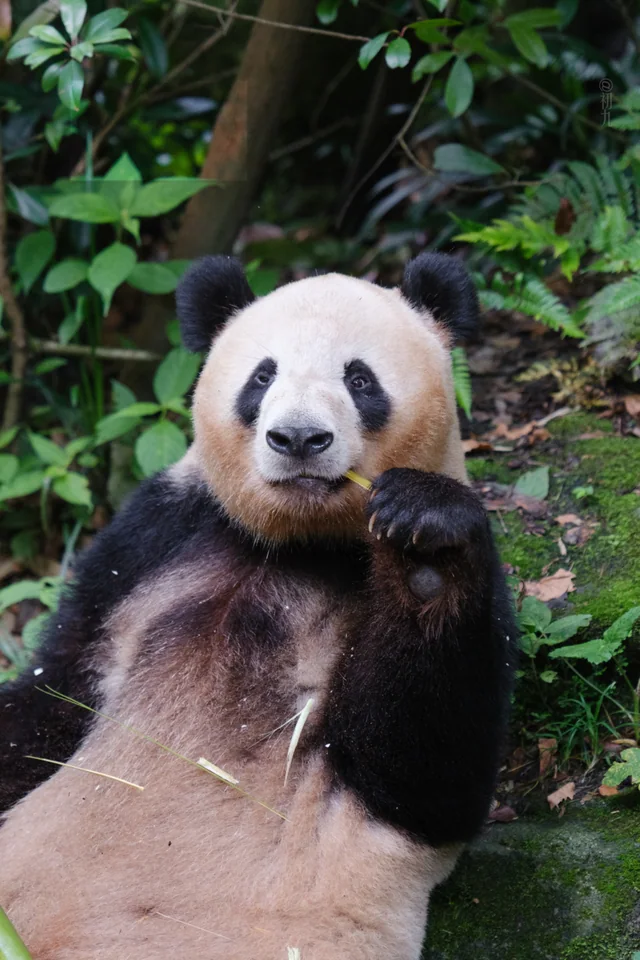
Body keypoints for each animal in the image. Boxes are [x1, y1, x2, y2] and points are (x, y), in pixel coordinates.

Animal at [0, 253, 516, 960]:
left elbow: (429, 780)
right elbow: (56, 690)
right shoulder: (157, 536)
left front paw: (425, 545)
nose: (297, 437)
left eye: (360, 378)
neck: (300, 543)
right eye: (262, 375)